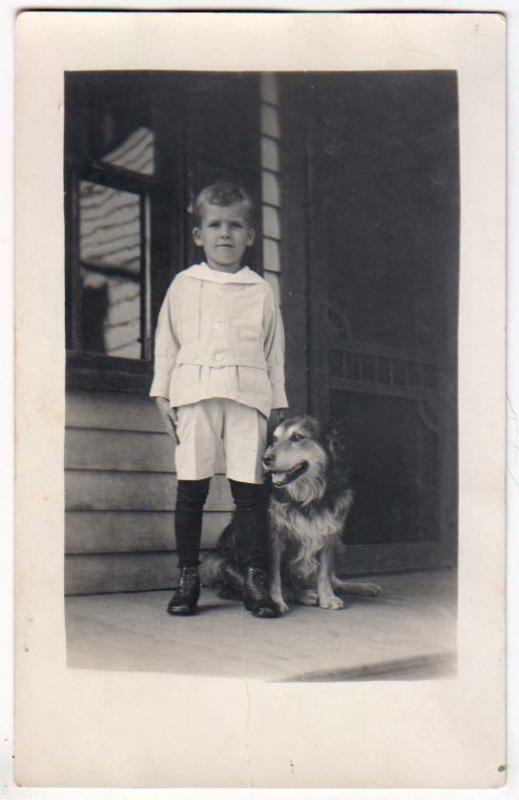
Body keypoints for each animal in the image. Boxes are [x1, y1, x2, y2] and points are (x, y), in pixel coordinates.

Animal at [201, 416, 380, 616]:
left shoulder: (329, 532)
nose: (265, 459)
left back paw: (362, 587)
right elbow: (275, 576)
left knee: (334, 580)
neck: (307, 496)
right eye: (274, 439)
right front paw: (276, 600)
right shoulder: (274, 538)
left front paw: (327, 597)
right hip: (214, 562)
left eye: (296, 437)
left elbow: (325, 573)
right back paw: (305, 594)